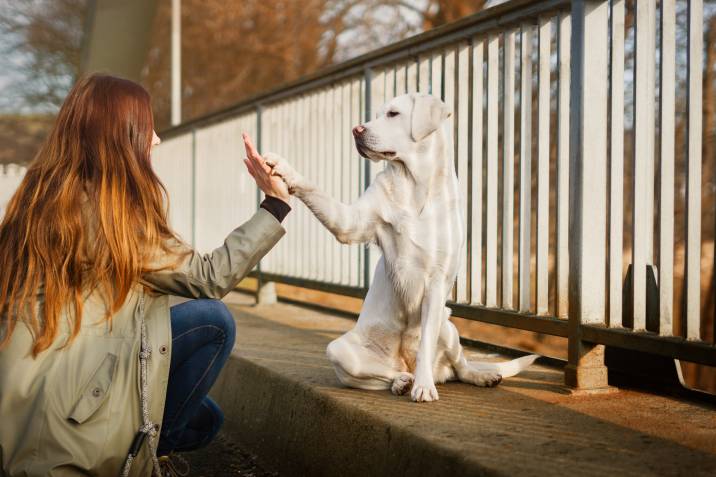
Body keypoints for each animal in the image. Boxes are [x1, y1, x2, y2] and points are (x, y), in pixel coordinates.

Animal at [268, 94, 536, 402]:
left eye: (393, 114)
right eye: (376, 115)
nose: (356, 130)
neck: (414, 186)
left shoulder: (436, 282)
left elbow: (426, 345)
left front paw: (424, 386)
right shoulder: (351, 222)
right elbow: (316, 191)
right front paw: (283, 168)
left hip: (448, 325)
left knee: (460, 366)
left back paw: (476, 376)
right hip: (339, 350)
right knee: (383, 374)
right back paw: (402, 381)